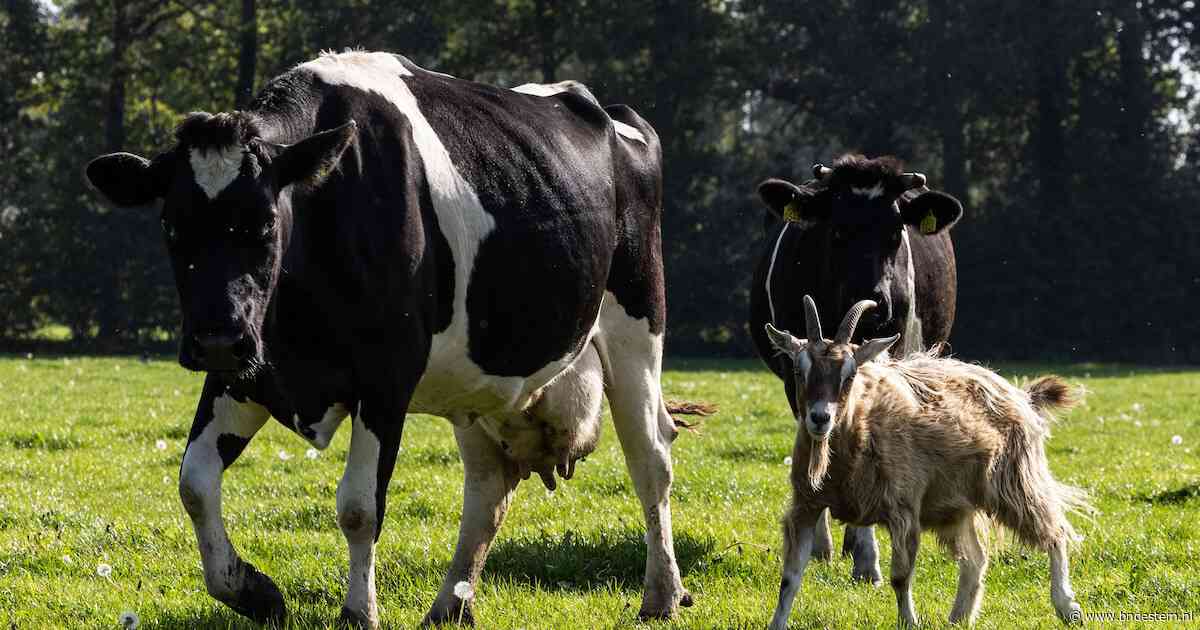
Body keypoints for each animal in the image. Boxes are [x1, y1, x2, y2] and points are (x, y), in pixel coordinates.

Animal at [84, 51, 704, 628]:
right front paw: (254, 592)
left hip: (635, 326)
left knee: (651, 458)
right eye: (172, 227)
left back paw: (662, 595)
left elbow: (359, 507)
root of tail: (609, 109)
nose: (215, 337)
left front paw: (358, 613)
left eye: (265, 222)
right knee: (488, 486)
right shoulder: (247, 372)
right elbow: (194, 483)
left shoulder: (385, 378)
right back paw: (449, 606)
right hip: (474, 381)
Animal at [747, 154, 963, 585]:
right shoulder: (796, 376)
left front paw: (866, 557)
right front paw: (818, 541)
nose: (875, 303)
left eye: (895, 233)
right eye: (838, 231)